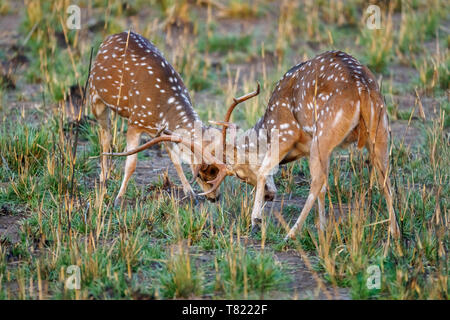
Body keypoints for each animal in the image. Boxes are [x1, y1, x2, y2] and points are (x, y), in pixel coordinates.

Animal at [89, 30, 258, 205]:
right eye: (200, 175)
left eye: (217, 173)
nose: (214, 198)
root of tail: (112, 36)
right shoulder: (135, 121)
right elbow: (131, 164)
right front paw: (118, 199)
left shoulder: (165, 132)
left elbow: (175, 158)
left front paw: (190, 193)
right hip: (94, 96)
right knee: (105, 135)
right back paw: (103, 177)